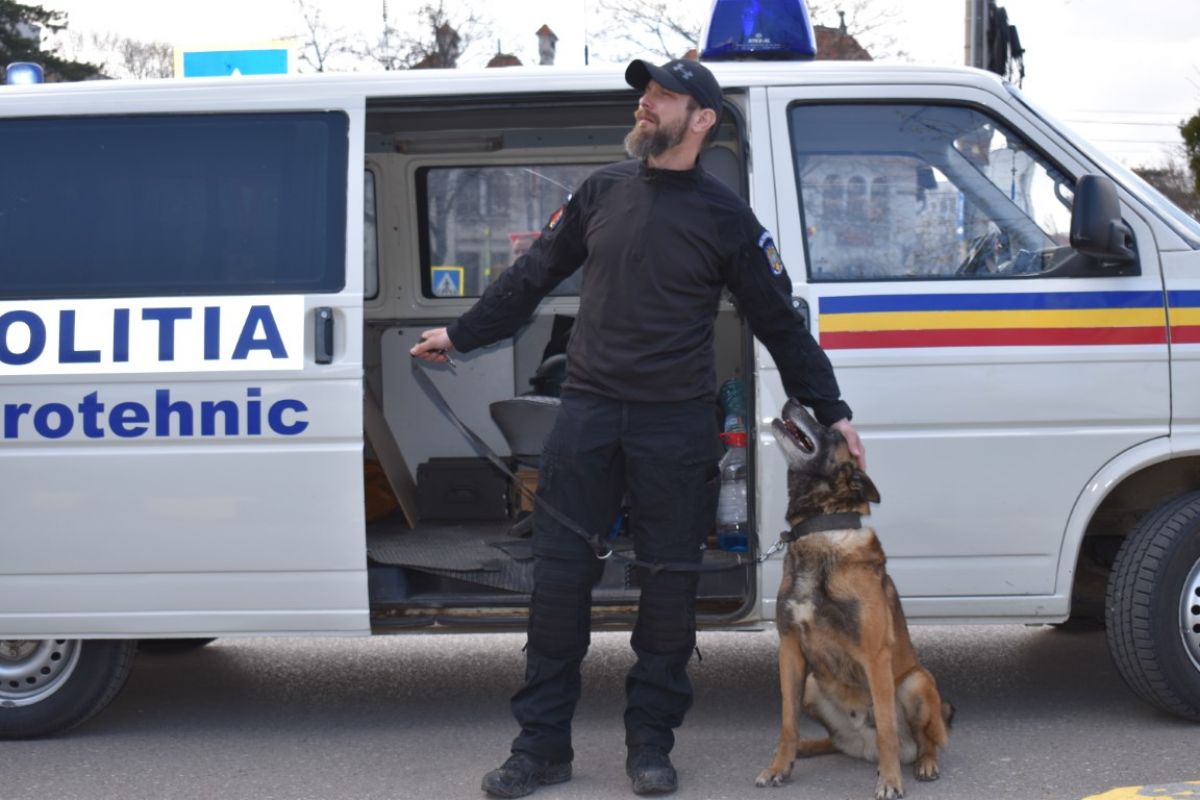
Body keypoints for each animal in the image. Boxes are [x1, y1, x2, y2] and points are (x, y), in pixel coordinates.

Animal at [755, 400, 952, 800]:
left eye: (830, 432)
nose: (792, 401)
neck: (820, 531)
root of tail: (862, 748)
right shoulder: (790, 651)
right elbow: (787, 722)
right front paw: (780, 766)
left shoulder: (874, 655)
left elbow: (888, 728)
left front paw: (890, 781)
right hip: (812, 686)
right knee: (832, 741)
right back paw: (806, 749)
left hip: (915, 682)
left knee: (928, 739)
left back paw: (924, 763)